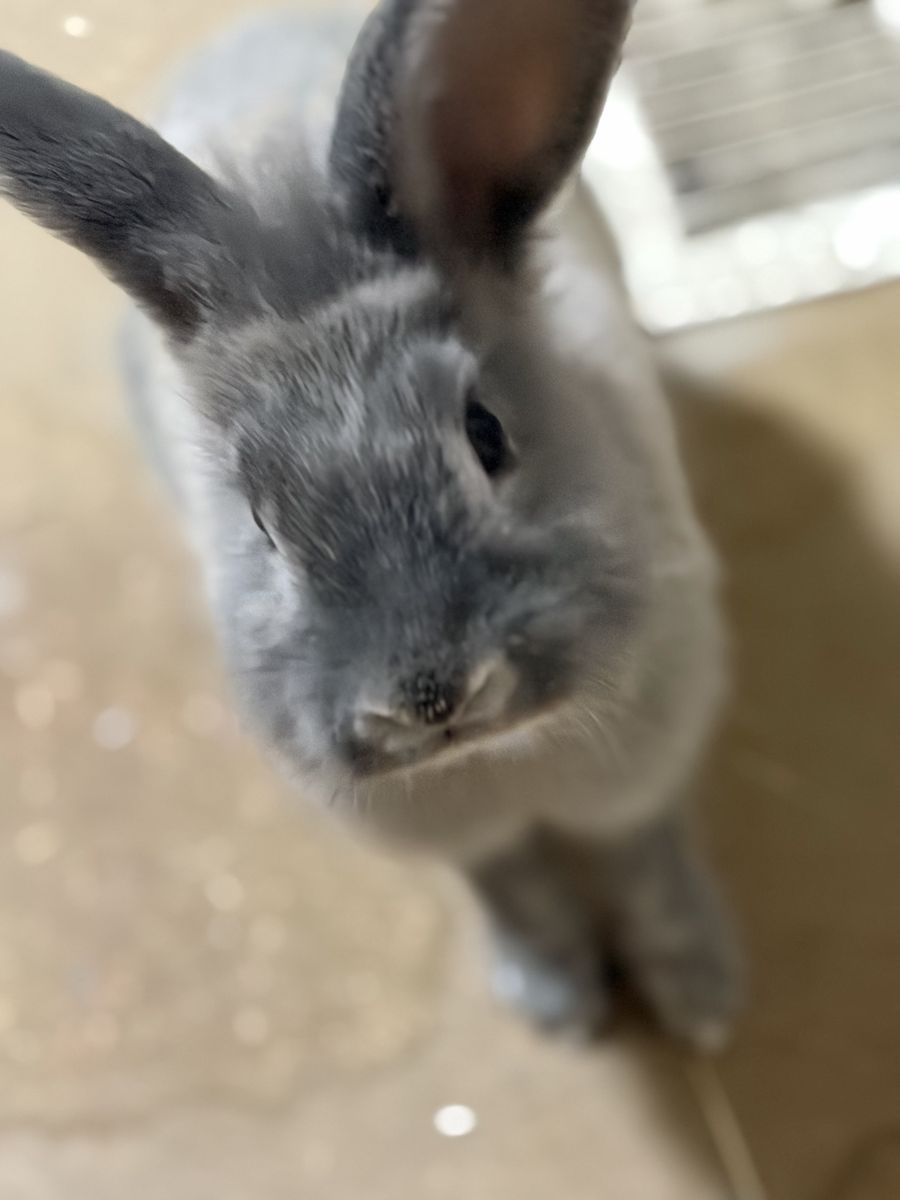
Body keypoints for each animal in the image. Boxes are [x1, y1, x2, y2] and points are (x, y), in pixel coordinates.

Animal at [0, 0, 742, 1046]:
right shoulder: (458, 839)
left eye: (486, 434)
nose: (430, 696)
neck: (500, 762)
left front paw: (700, 998)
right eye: (258, 516)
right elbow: (511, 889)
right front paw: (558, 1003)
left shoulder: (642, 774)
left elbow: (647, 861)